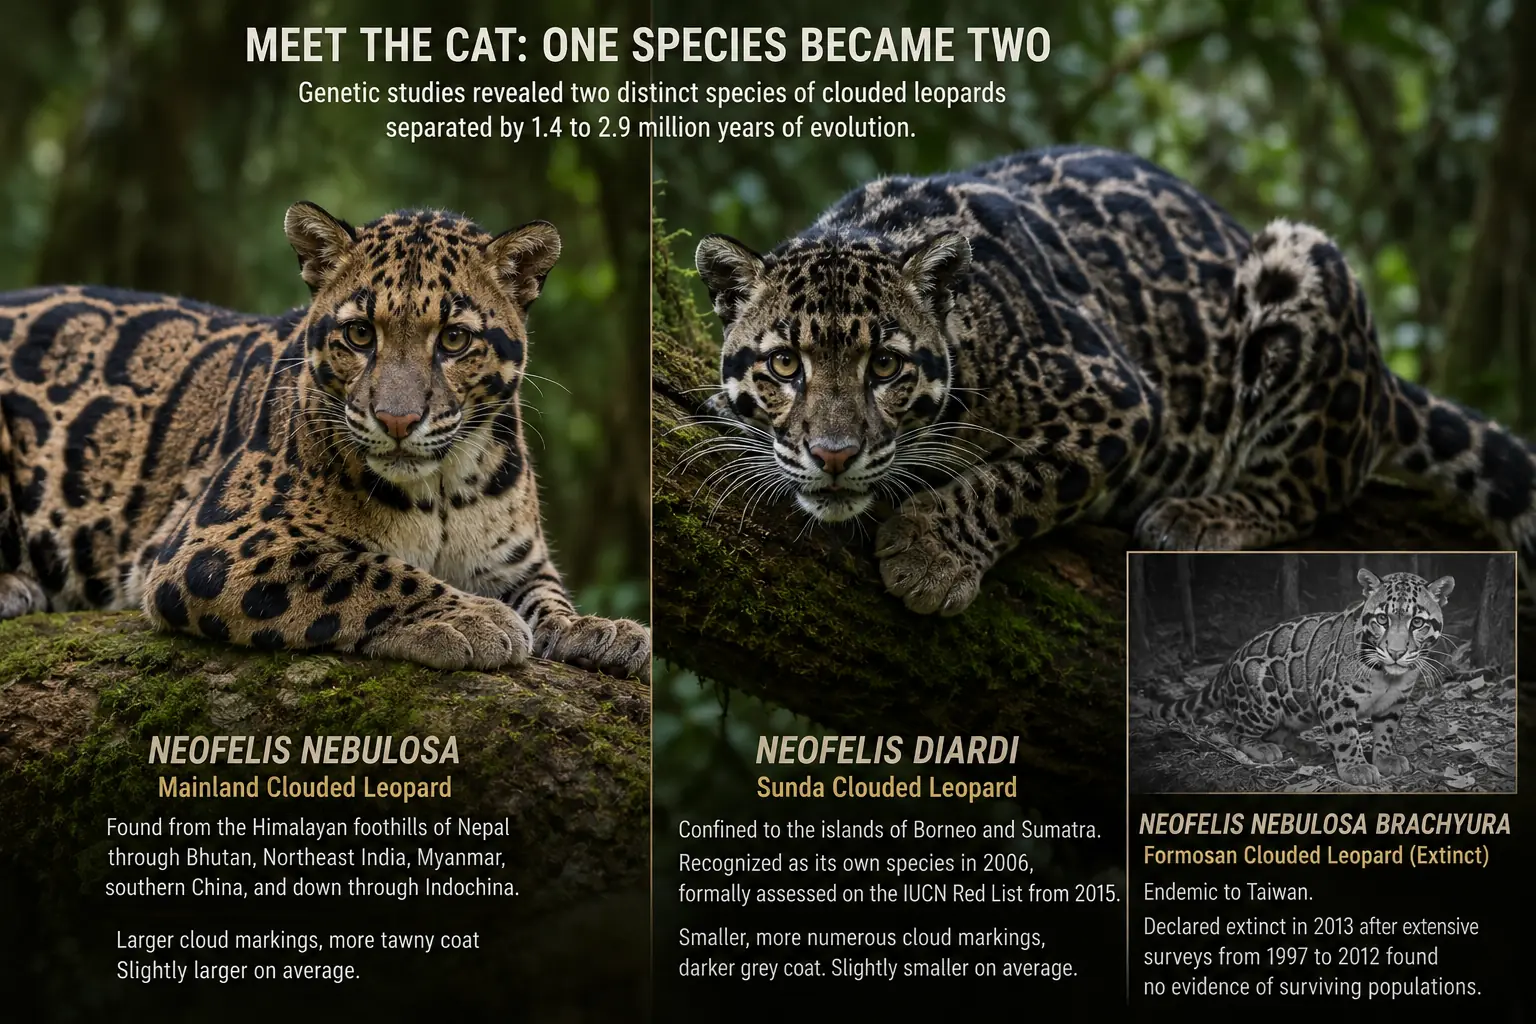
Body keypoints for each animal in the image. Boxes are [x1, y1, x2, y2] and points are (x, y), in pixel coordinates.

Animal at [0, 202, 649, 679]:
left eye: (455, 340)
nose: (396, 420)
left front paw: (598, 630)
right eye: (360, 335)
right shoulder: (215, 541)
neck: (441, 489)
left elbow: (548, 597)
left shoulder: (519, 561)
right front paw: (473, 620)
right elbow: (366, 569)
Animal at [691, 145, 1536, 616]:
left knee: (1312, 485)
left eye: (886, 367)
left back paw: (1197, 516)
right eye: (785, 365)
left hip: (1303, 261)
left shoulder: (1118, 398)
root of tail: (1384, 381)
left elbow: (1017, 483)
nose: (833, 456)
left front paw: (931, 554)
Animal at [1140, 569, 1454, 787]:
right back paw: (1264, 748)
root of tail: (1226, 664)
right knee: (1235, 732)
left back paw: (1305, 744)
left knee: (1278, 728)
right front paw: (1356, 767)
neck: (1389, 677)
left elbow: (1387, 730)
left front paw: (1385, 756)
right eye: (1382, 619)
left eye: (1417, 622)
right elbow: (1345, 735)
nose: (1396, 652)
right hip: (1262, 696)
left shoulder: (1395, 703)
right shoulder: (1333, 696)